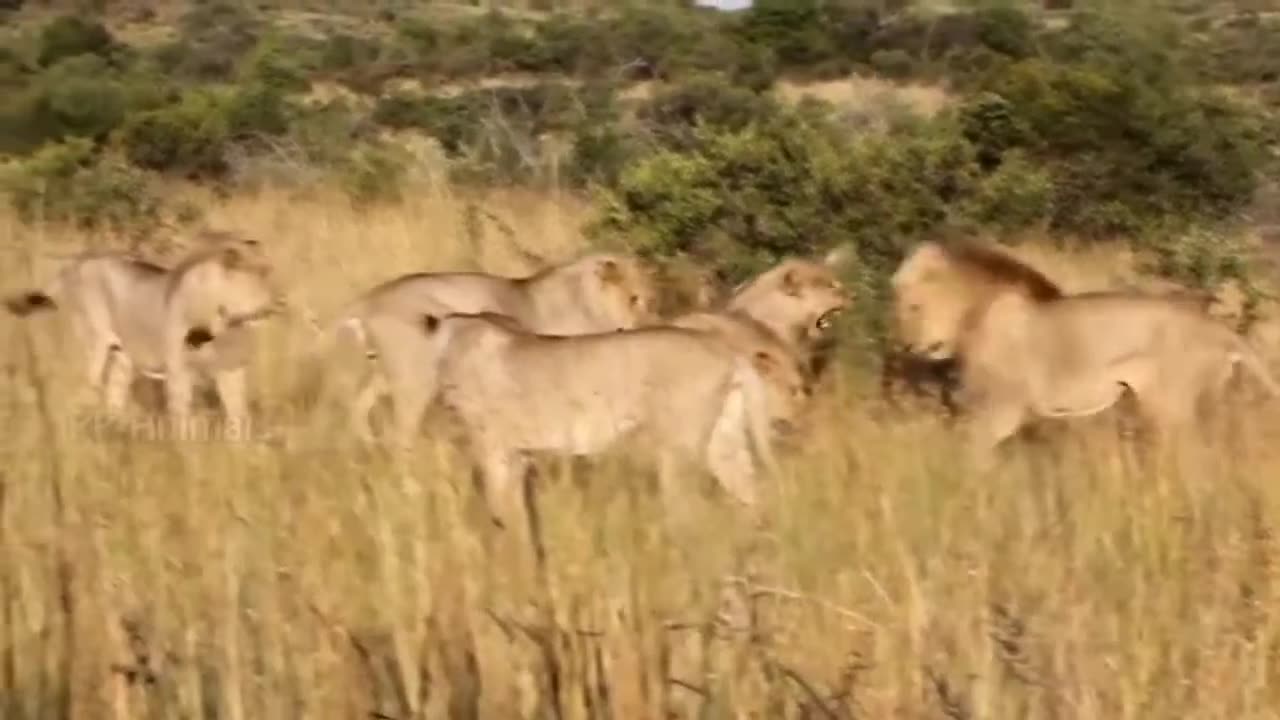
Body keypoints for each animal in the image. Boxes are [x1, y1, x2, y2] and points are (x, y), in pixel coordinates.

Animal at [317, 249, 660, 440]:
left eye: (645, 298)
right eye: (634, 299)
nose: (645, 325)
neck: (587, 301)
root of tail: (368, 299)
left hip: (387, 374)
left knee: (358, 408)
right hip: (414, 381)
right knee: (400, 434)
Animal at [399, 311, 808, 530]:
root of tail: (728, 352)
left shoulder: (494, 448)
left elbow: (502, 511)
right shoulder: (518, 453)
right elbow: (518, 514)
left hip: (679, 447)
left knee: (688, 509)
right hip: (723, 441)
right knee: (751, 494)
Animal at [890, 237, 1280, 458]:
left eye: (912, 306)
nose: (908, 346)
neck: (976, 312)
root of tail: (1220, 329)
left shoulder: (1001, 409)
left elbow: (972, 456)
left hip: (1171, 407)